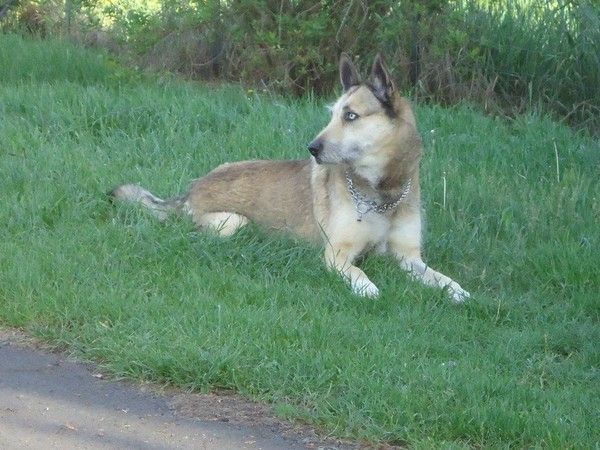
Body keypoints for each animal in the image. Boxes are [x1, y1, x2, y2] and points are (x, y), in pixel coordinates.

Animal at [110, 54, 472, 304]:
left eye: (350, 116)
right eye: (332, 114)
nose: (312, 148)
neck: (382, 194)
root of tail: (190, 190)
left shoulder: (409, 258)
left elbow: (440, 277)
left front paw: (458, 292)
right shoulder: (337, 256)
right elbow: (358, 271)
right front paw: (367, 287)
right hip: (233, 223)